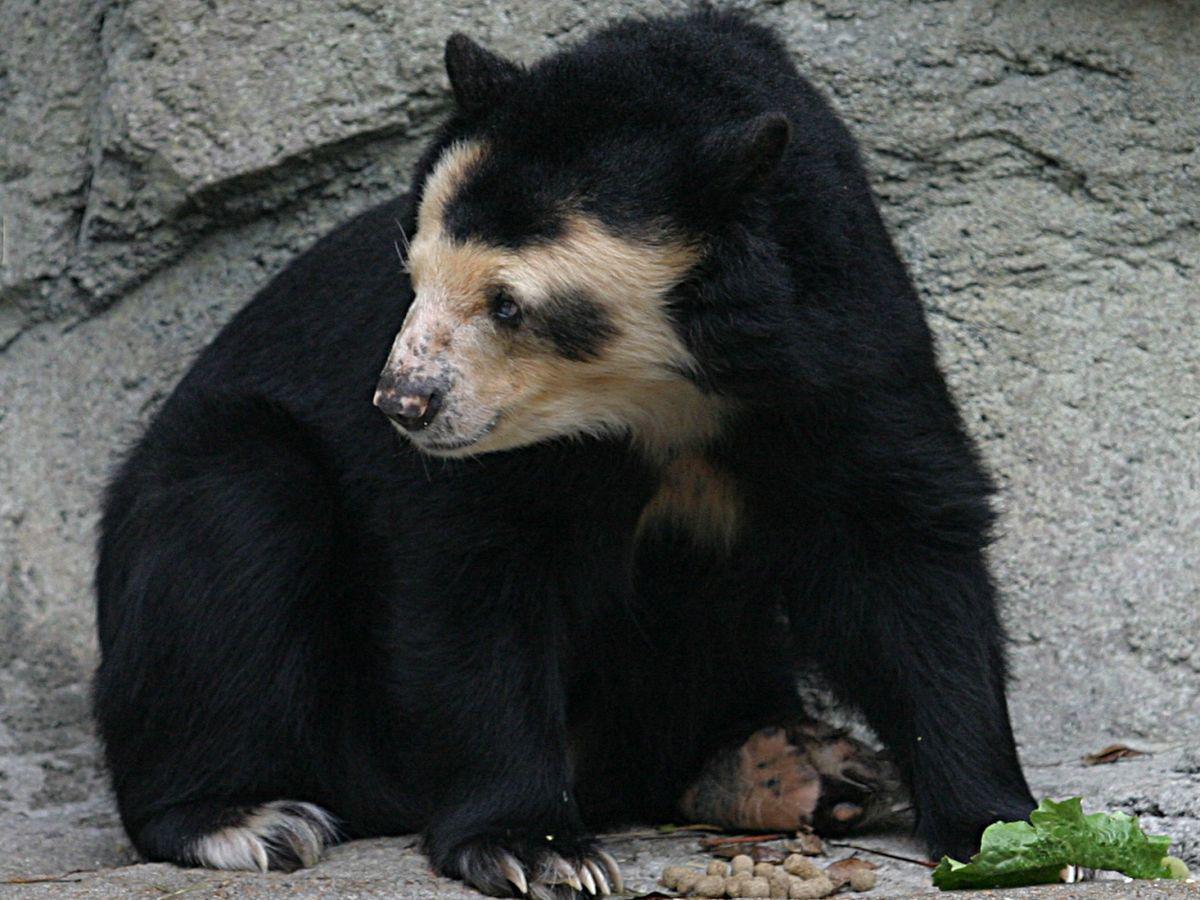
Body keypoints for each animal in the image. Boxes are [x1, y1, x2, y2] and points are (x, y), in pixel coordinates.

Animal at [96, 8, 1032, 900]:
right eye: (414, 275)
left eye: (508, 304)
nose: (403, 403)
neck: (658, 391)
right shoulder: (499, 451)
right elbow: (473, 580)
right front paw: (532, 847)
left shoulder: (840, 348)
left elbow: (902, 550)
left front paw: (1001, 828)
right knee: (236, 520)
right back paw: (242, 817)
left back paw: (795, 769)